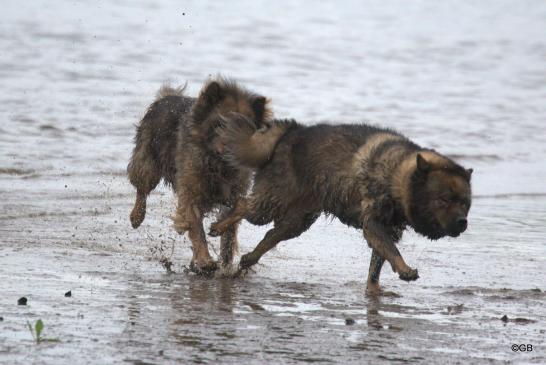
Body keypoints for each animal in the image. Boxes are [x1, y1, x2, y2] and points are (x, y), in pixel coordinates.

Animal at [128, 77, 272, 272]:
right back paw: (136, 216)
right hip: (147, 161)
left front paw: (225, 263)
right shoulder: (191, 192)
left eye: (245, 129)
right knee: (142, 188)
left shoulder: (234, 192)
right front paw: (205, 260)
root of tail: (167, 96)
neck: (219, 165)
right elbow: (196, 229)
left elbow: (232, 225)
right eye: (220, 124)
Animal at [209, 115, 472, 292]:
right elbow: (391, 251)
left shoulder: (387, 229)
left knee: (271, 236)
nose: (462, 222)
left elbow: (377, 264)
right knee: (243, 206)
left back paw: (248, 259)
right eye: (443, 199)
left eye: (465, 203)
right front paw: (405, 269)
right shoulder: (373, 224)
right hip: (271, 202)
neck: (396, 174)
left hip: (298, 220)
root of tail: (290, 132)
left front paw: (374, 291)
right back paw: (219, 227)